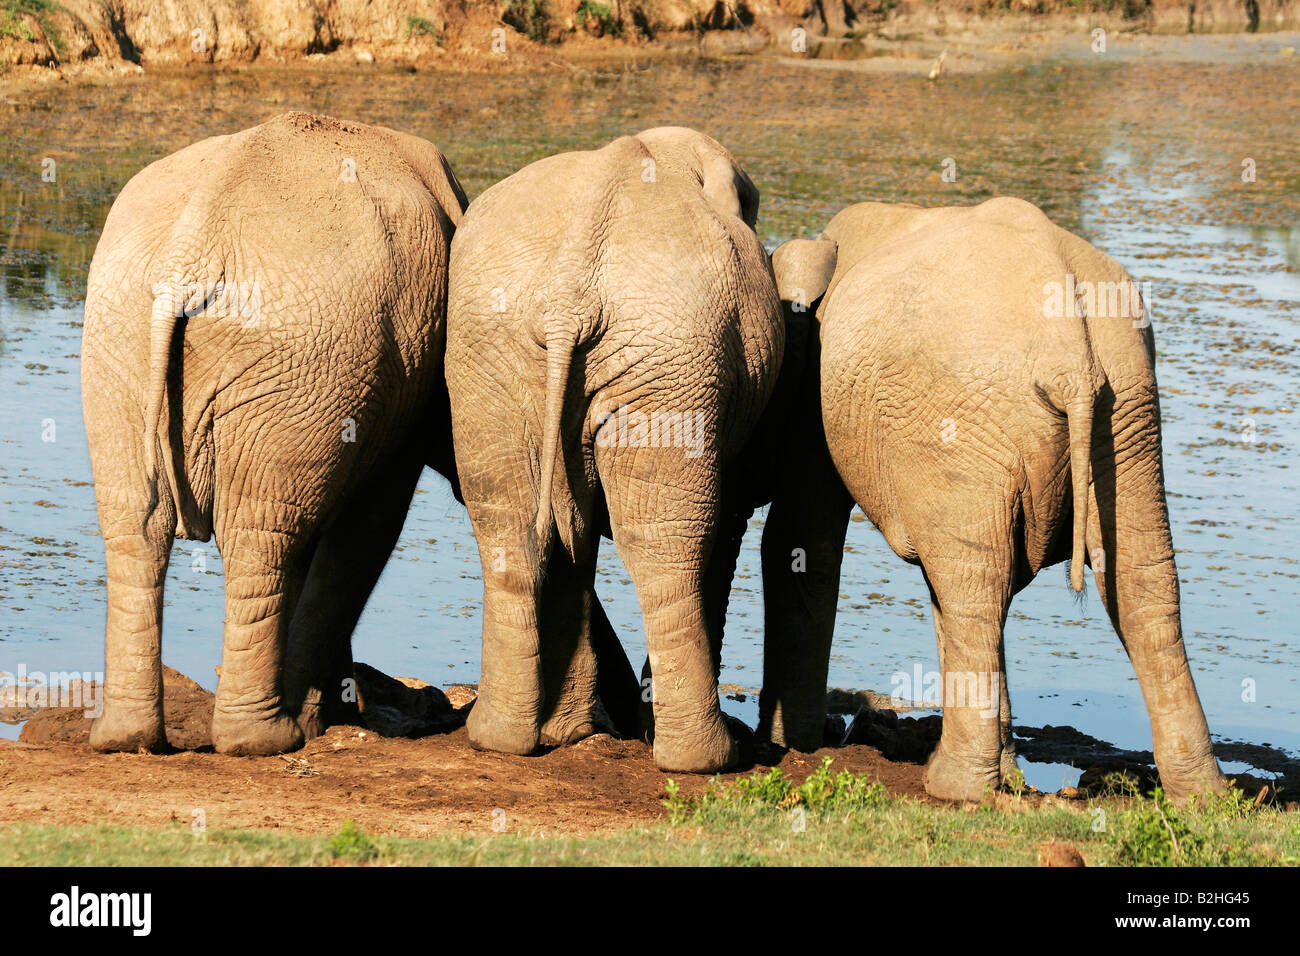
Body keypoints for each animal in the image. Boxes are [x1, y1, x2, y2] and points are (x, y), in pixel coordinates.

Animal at [81, 111, 470, 754]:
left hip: (130, 343)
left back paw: (128, 737)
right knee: (259, 537)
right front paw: (321, 719)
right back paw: (266, 741)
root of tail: (192, 247)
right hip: (290, 359)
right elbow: (368, 528)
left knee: (141, 525)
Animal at [447, 123, 785, 775]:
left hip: (495, 353)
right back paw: (704, 759)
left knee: (512, 524)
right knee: (668, 544)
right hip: (668, 363)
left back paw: (508, 738)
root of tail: (569, 293)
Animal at [759, 197, 1222, 806]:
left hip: (963, 418)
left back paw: (953, 787)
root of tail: (1070, 356)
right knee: (1139, 580)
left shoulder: (814, 386)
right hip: (1127, 409)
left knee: (973, 583)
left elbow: (800, 543)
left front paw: (794, 745)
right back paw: (1204, 797)